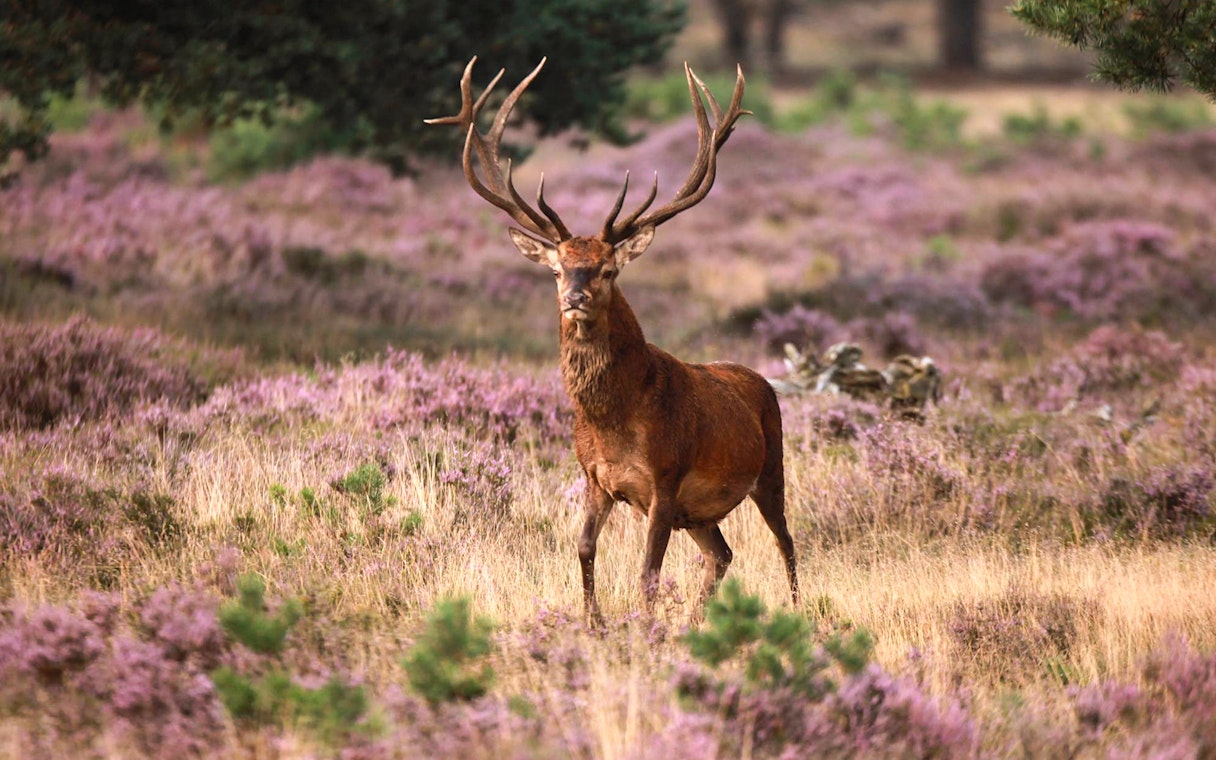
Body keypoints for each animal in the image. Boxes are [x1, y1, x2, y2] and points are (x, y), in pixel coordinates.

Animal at [427, 57, 798, 624]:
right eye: (558, 268)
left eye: (607, 269)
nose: (575, 297)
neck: (613, 420)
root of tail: (762, 381)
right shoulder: (595, 478)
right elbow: (583, 548)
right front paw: (594, 622)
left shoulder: (665, 479)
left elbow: (647, 573)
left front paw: (642, 629)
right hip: (700, 513)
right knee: (722, 554)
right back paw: (695, 622)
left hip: (770, 467)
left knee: (786, 543)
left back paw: (800, 613)